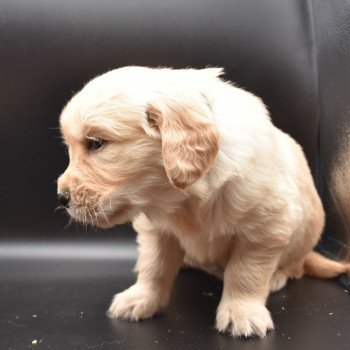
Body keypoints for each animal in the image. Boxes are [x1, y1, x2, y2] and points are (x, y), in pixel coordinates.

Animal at [57, 65, 350, 336]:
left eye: (96, 143)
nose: (61, 198)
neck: (183, 199)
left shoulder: (266, 227)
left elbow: (246, 272)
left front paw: (242, 313)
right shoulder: (156, 229)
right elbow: (154, 265)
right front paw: (140, 298)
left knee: (294, 267)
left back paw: (277, 276)